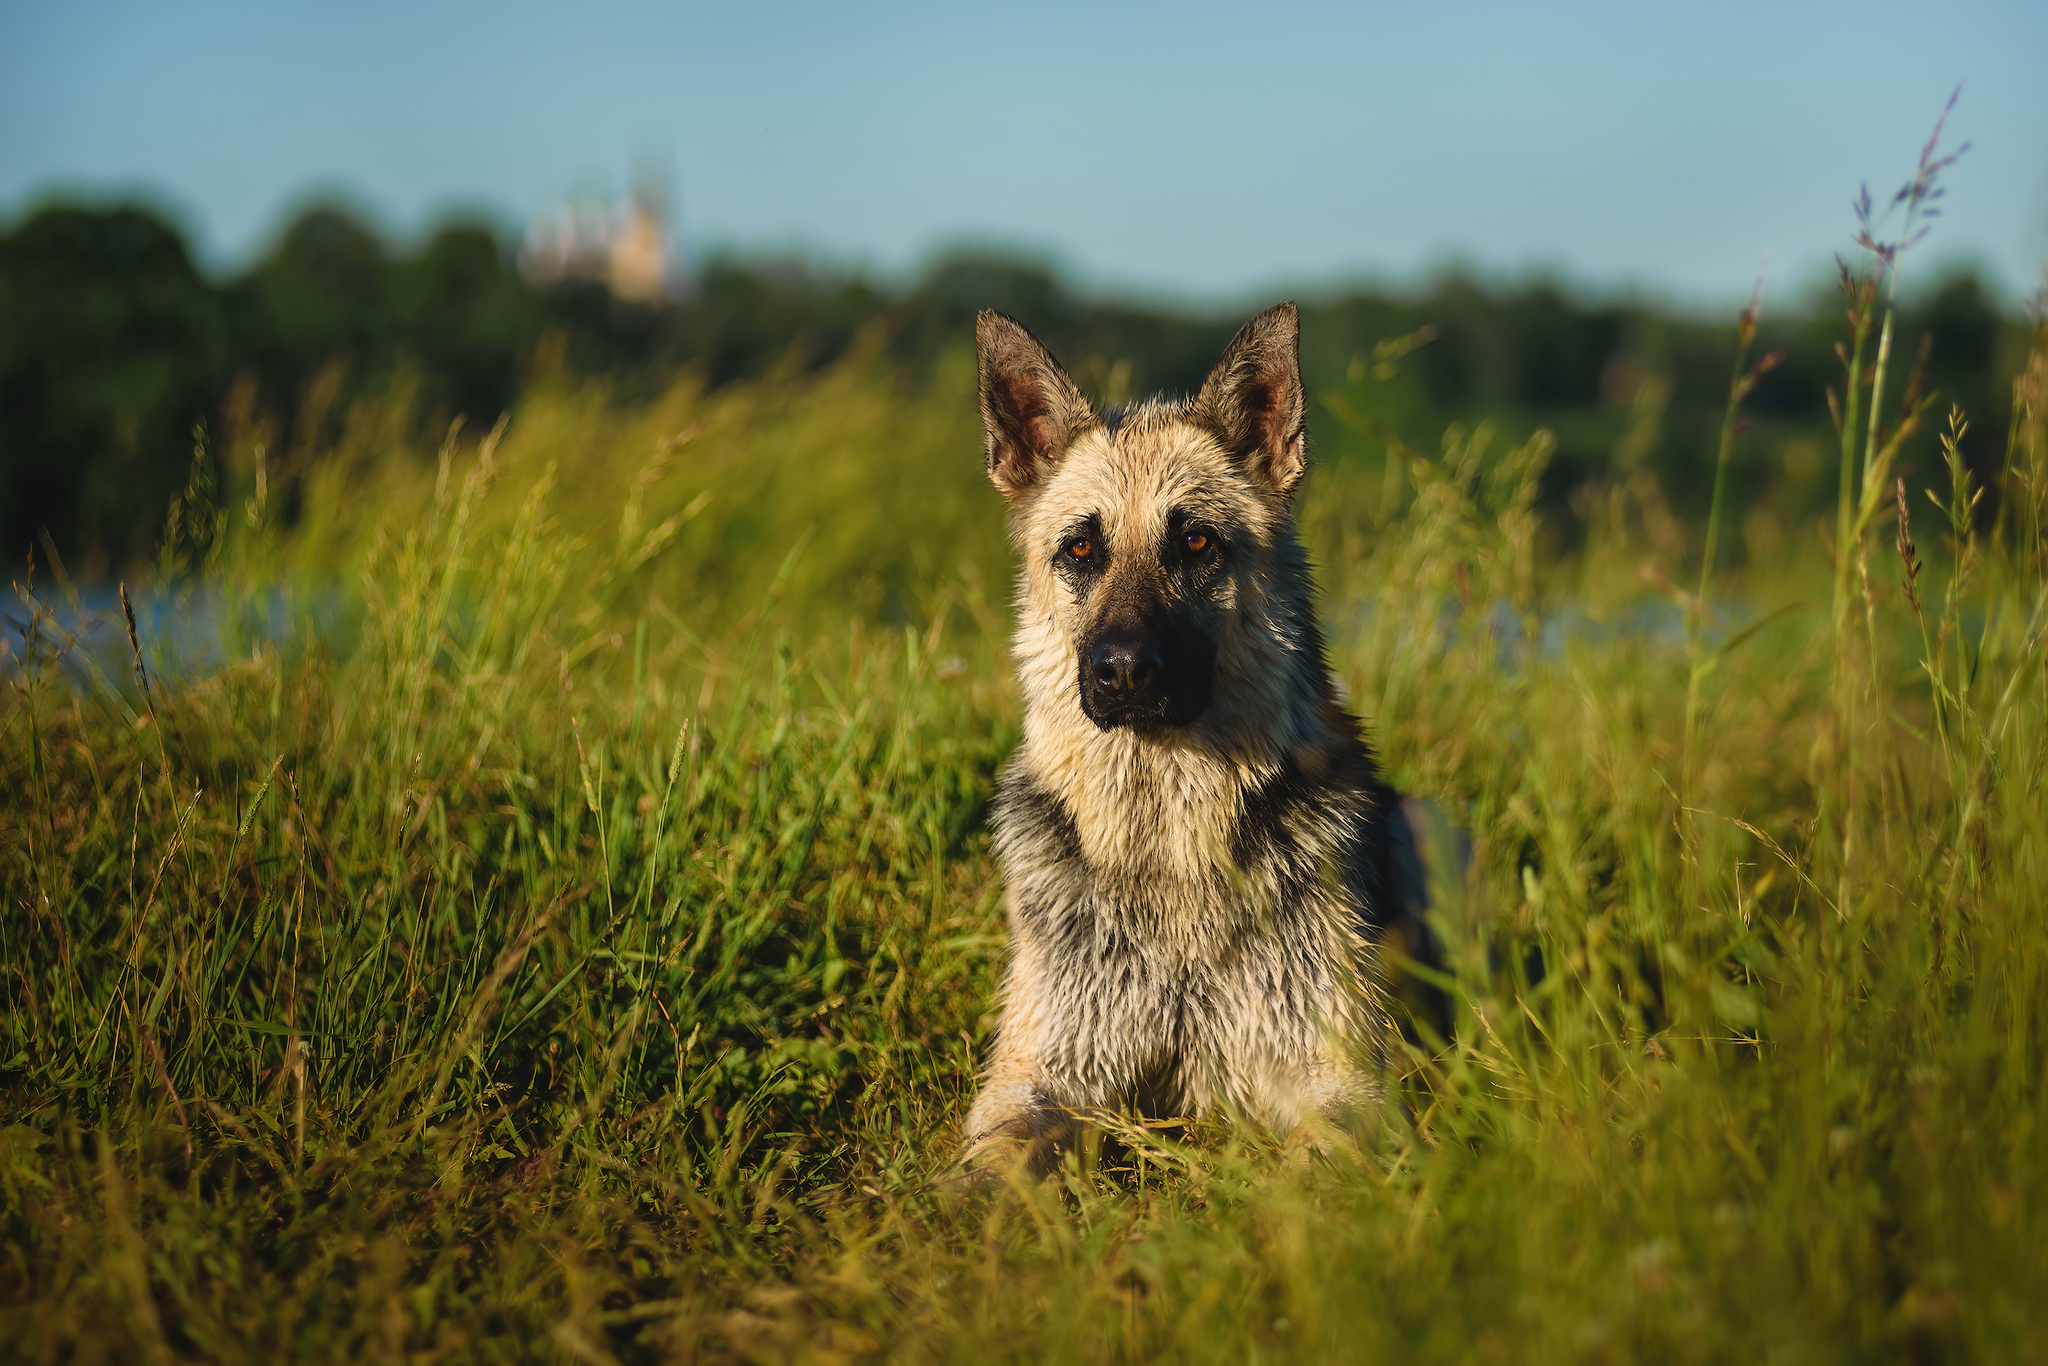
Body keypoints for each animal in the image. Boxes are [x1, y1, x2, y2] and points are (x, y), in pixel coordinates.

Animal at [962, 305, 1433, 1179]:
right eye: (1082, 549)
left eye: (1196, 545)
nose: (1123, 671)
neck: (1168, 846)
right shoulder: (1034, 1078)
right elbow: (989, 1164)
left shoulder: (1340, 1084)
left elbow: (1316, 1162)